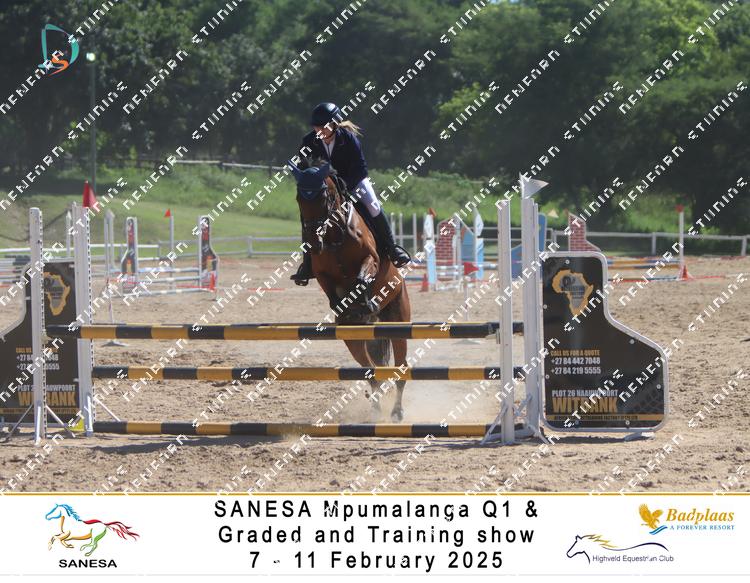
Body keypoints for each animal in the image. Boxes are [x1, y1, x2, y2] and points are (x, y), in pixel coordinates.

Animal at [289, 159, 411, 421]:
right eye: (299, 198)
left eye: (324, 196)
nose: (313, 243)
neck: (335, 235)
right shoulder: (323, 275)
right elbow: (333, 294)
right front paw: (347, 308)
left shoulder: (371, 259)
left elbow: (362, 277)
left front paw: (364, 301)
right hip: (354, 340)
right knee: (372, 372)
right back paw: (376, 409)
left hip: (398, 319)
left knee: (401, 369)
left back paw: (396, 411)